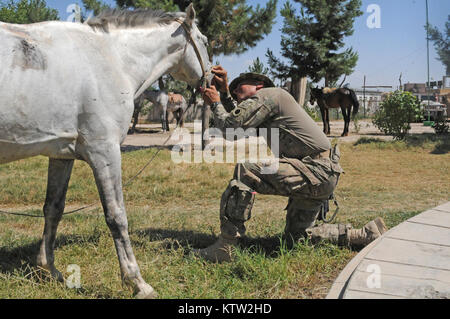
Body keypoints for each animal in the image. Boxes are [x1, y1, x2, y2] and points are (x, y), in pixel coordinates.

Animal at [0, 5, 211, 300]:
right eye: (204, 41)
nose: (213, 77)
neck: (112, 57)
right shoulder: (105, 152)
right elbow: (116, 216)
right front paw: (137, 282)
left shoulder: (62, 155)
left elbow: (53, 208)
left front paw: (47, 269)